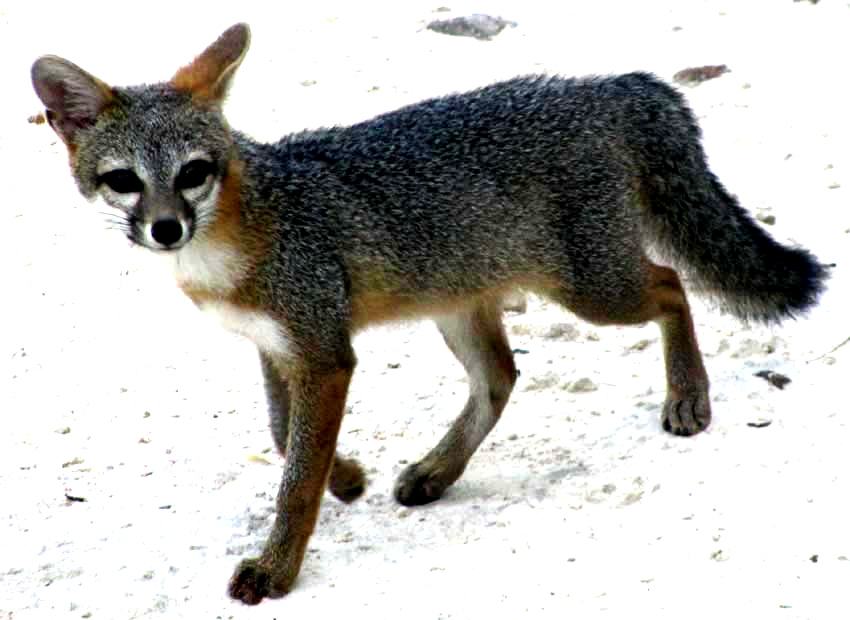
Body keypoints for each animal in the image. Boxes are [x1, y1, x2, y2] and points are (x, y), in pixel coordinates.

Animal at [29, 23, 824, 604]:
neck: (241, 235)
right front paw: (346, 476)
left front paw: (278, 567)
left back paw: (688, 396)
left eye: (194, 172)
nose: (166, 229)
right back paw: (438, 472)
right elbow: (285, 438)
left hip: (593, 290)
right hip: (461, 309)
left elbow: (294, 478)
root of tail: (602, 86)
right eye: (124, 181)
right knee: (501, 378)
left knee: (670, 287)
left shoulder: (325, 354)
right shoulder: (278, 348)